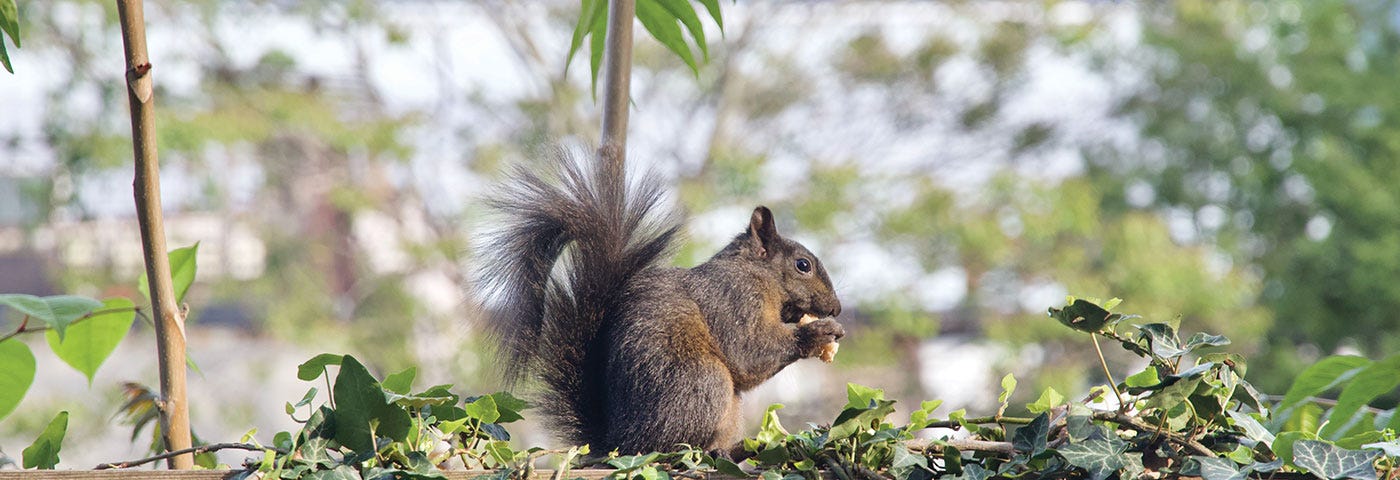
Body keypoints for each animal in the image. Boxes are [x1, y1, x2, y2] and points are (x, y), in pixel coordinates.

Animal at [476, 148, 840, 456]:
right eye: (803, 265)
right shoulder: (732, 298)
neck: (756, 274)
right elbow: (748, 352)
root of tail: (619, 442)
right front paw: (818, 333)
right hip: (702, 383)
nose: (836, 308)